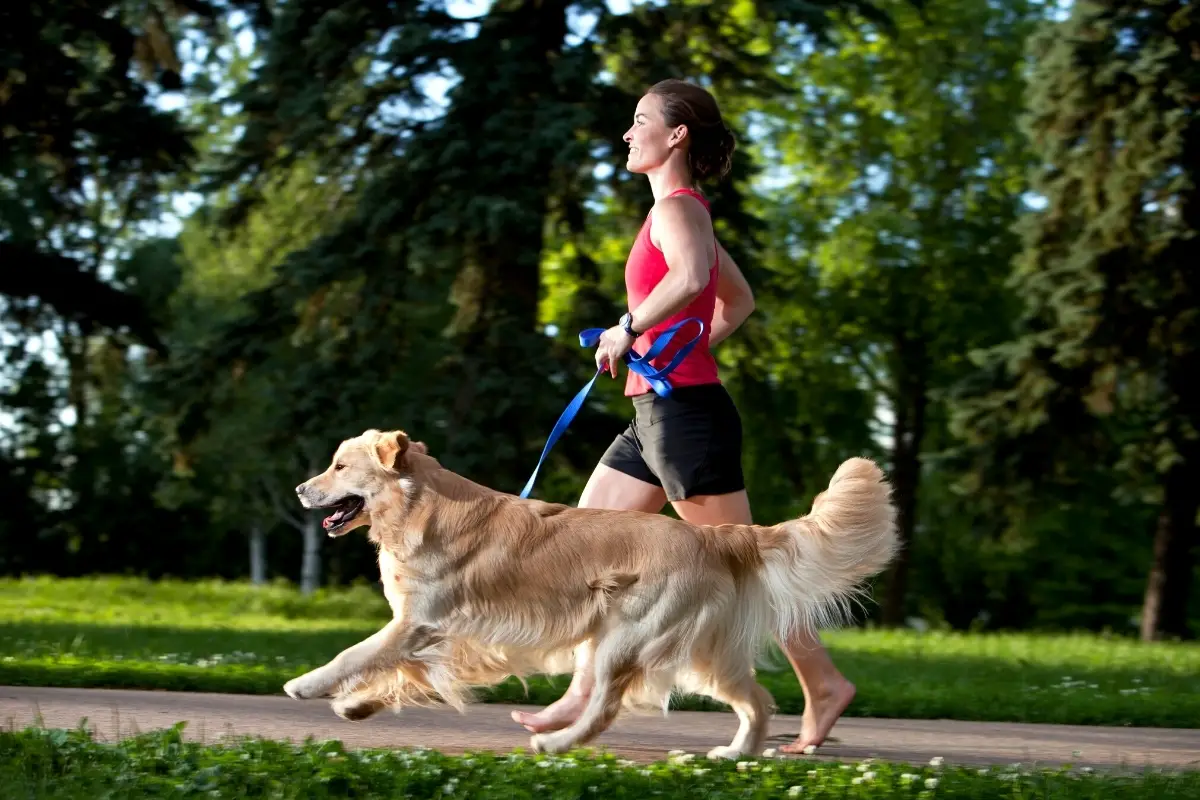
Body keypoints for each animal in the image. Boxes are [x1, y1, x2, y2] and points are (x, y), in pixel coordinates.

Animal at [283, 429, 902, 762]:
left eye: (338, 465)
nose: (299, 488)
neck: (419, 506)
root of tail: (713, 535)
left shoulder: (419, 620)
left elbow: (357, 654)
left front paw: (307, 685)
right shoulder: (450, 634)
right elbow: (404, 671)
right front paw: (357, 705)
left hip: (624, 639)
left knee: (604, 706)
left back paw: (556, 744)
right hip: (701, 654)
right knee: (758, 700)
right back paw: (736, 754)